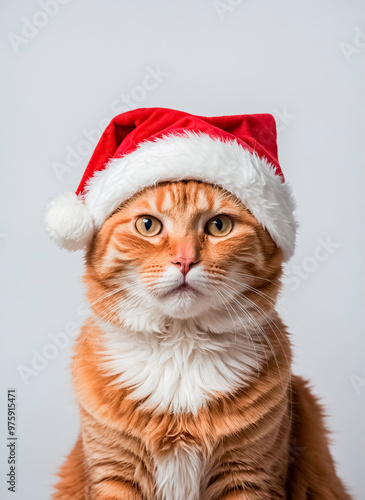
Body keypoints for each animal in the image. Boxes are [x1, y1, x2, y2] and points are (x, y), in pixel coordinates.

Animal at [52, 181, 350, 500]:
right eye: (148, 225)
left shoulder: (249, 475)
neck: (181, 346)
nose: (185, 261)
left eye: (219, 226)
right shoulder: (113, 472)